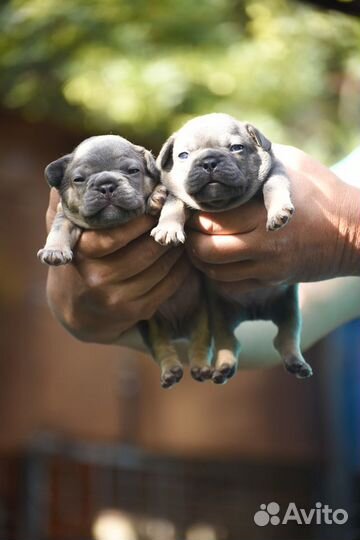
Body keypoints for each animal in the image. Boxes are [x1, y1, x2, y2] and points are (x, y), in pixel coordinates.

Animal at [38, 134, 208, 388]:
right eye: (79, 179)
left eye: (132, 170)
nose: (106, 184)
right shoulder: (66, 215)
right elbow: (60, 228)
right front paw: (54, 250)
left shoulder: (178, 196)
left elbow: (173, 205)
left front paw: (159, 201)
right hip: (153, 325)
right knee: (162, 345)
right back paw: (171, 370)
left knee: (202, 340)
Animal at [151, 113, 312, 384]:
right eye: (183, 155)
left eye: (237, 148)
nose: (209, 162)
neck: (222, 204)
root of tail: (254, 312)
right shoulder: (178, 197)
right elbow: (173, 206)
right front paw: (168, 228)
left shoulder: (276, 173)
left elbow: (272, 187)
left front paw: (278, 212)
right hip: (221, 316)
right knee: (230, 342)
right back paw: (223, 366)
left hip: (289, 307)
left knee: (286, 337)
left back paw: (296, 362)